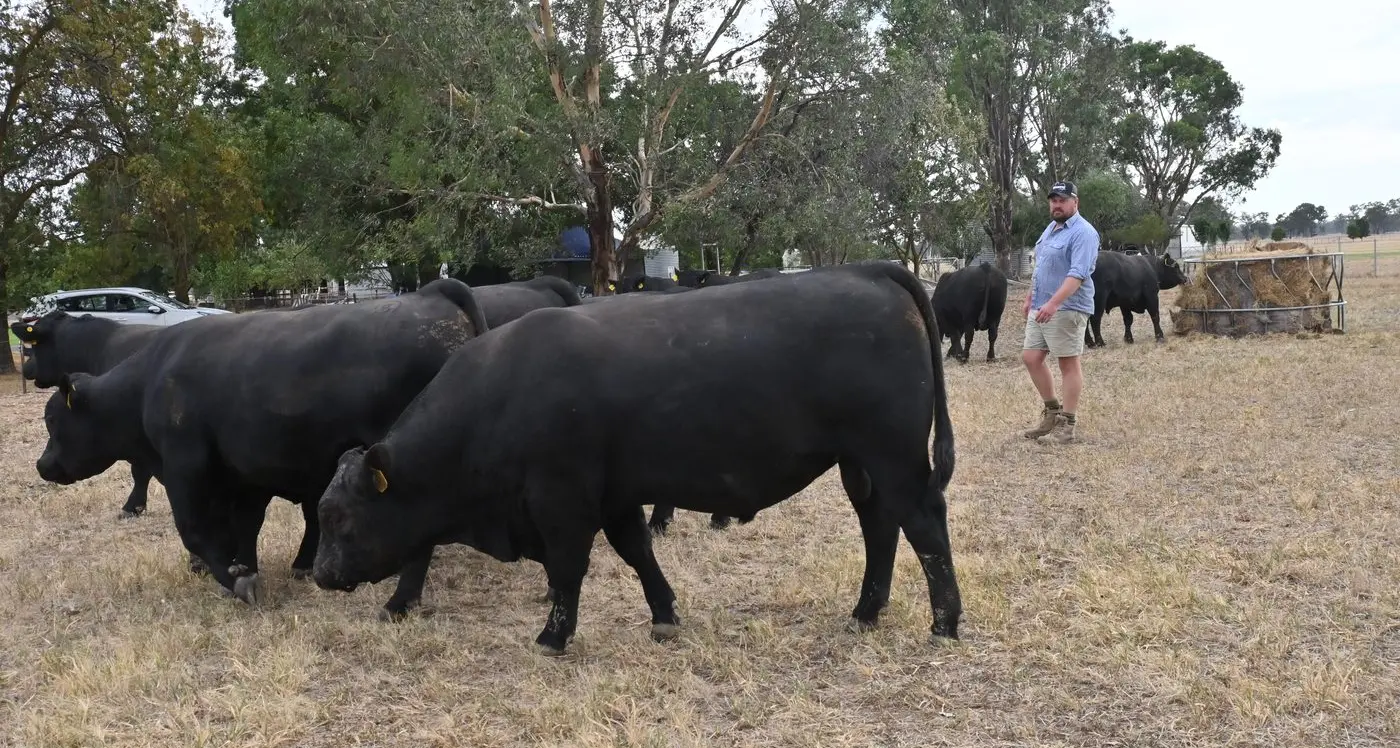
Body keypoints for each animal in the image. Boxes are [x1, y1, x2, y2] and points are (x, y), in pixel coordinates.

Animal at [34, 279, 490, 611]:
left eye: (53, 421)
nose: (42, 465)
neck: (150, 382)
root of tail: (431, 292)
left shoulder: (186, 467)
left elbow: (194, 530)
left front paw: (235, 579)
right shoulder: (243, 474)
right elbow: (244, 526)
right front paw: (242, 567)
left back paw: (399, 602)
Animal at [311, 261, 960, 656]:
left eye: (338, 516)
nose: (319, 573)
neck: (502, 390)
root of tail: (866, 270)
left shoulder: (562, 499)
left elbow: (568, 568)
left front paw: (552, 636)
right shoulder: (616, 495)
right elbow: (636, 551)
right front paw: (664, 614)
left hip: (895, 458)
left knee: (924, 527)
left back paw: (945, 622)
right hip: (862, 467)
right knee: (880, 528)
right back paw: (866, 610)